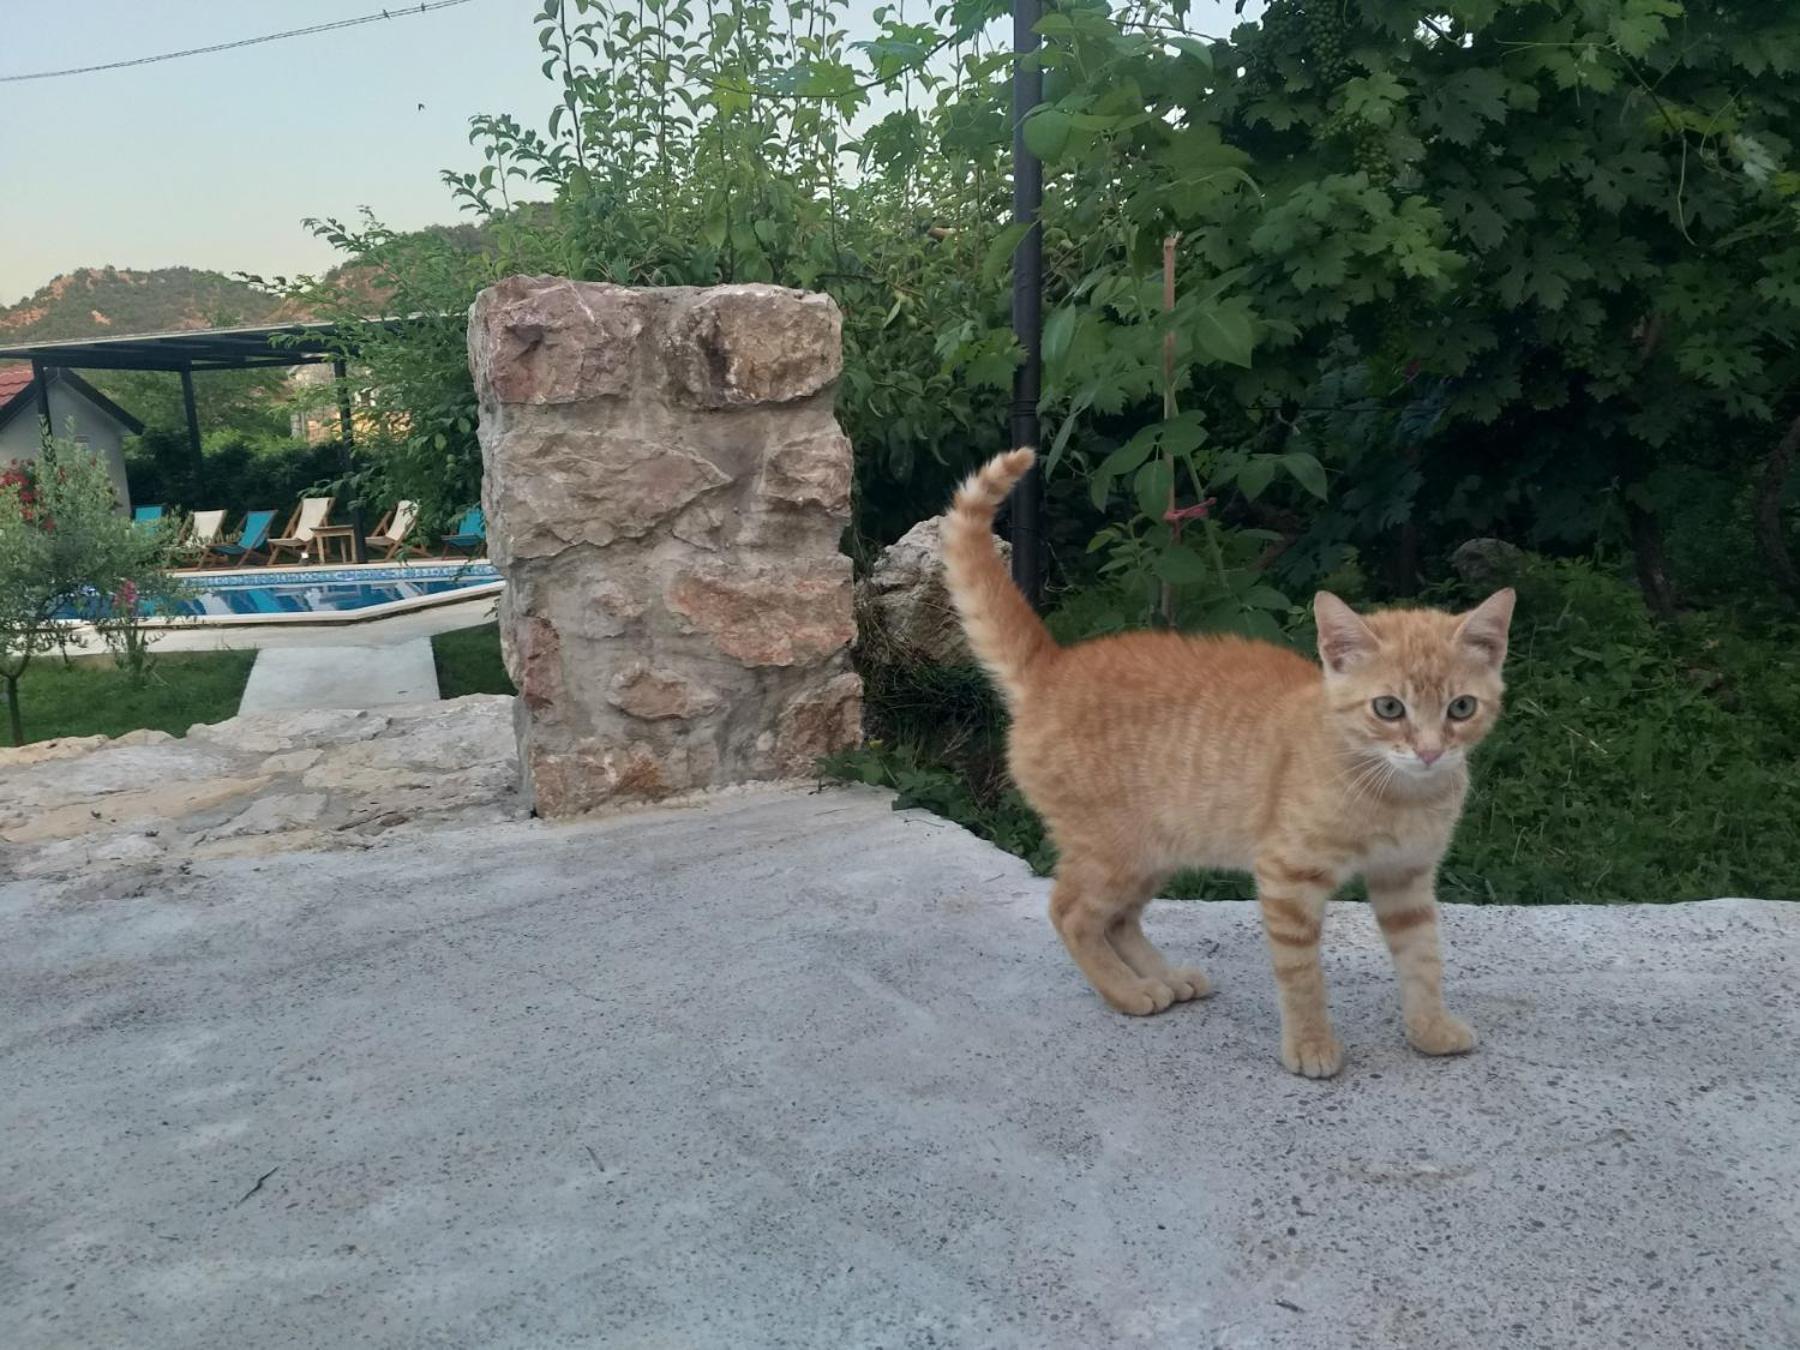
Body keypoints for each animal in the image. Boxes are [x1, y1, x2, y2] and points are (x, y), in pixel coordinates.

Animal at [943, 450, 1519, 1087]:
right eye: (1388, 709)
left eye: (1461, 708)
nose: (1429, 751)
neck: (1398, 793)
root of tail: (1055, 666)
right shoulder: (1287, 876)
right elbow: (1302, 976)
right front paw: (1311, 1045)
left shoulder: (1407, 878)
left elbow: (1423, 958)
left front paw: (1429, 1029)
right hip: (1116, 851)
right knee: (1071, 913)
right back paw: (1127, 992)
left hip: (1155, 852)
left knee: (1117, 920)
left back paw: (1163, 978)